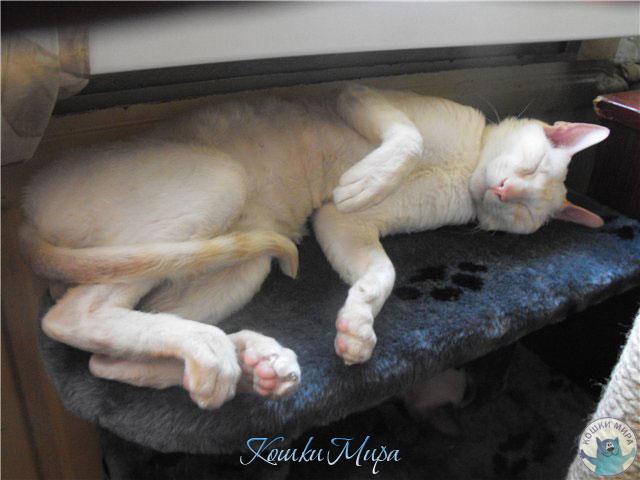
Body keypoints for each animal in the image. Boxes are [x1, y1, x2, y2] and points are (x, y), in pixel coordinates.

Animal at [20, 84, 608, 409]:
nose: (504, 191)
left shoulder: (340, 225)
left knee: (103, 354)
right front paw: (365, 179)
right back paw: (225, 357)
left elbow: (382, 276)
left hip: (244, 259)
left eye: (523, 211)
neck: (465, 169)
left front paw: (357, 333)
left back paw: (251, 365)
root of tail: (22, 201)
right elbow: (407, 140)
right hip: (222, 188)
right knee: (70, 318)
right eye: (531, 167)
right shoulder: (358, 96)